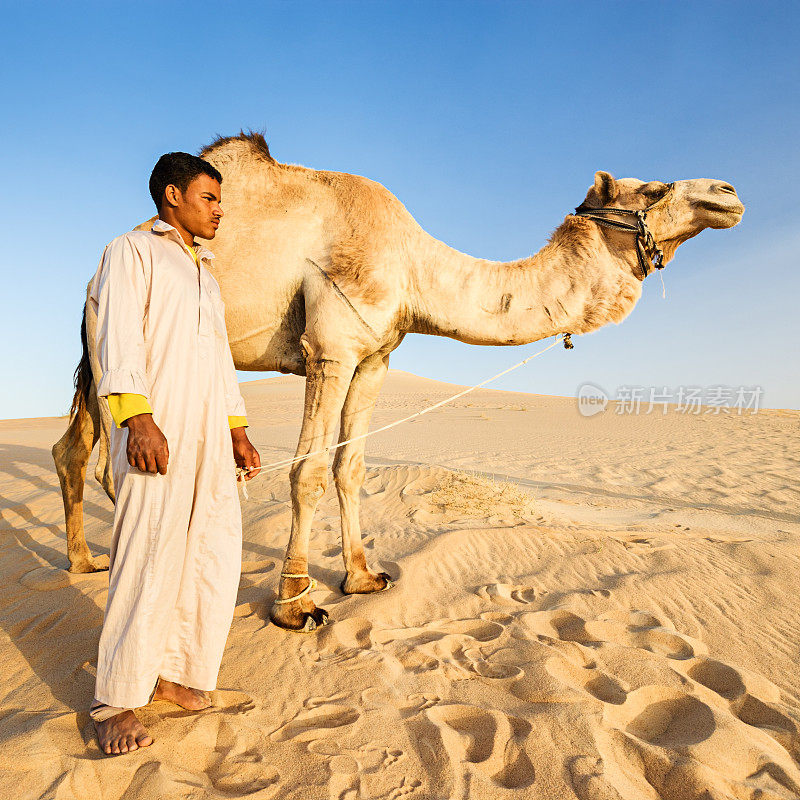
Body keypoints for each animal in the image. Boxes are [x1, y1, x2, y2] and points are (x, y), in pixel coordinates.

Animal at [54, 131, 744, 632]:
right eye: (655, 187)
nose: (729, 191)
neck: (414, 267)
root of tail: (89, 281)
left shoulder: (375, 357)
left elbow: (351, 466)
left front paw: (361, 577)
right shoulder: (330, 346)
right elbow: (308, 469)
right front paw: (294, 604)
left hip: (96, 356)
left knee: (74, 449)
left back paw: (87, 560)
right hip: (115, 333)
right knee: (116, 459)